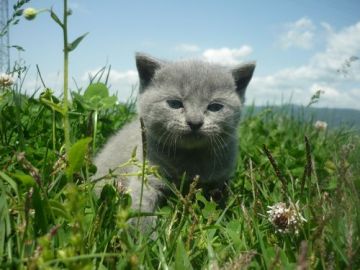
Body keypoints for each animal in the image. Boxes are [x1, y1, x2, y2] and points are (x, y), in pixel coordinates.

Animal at [93, 52, 256, 224]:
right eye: (174, 104)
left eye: (215, 107)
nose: (194, 122)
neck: (190, 159)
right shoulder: (148, 173)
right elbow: (141, 206)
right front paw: (143, 230)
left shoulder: (219, 182)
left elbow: (219, 204)